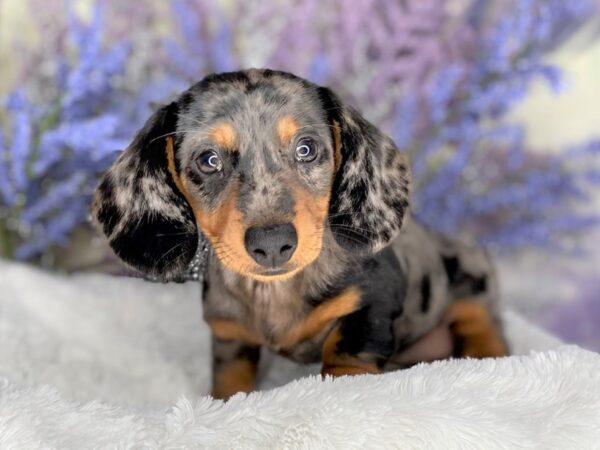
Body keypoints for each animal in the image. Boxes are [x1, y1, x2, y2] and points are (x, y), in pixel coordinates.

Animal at [92, 68, 506, 400]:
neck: (275, 290)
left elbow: (346, 355)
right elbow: (229, 379)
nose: (272, 243)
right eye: (209, 160)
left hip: (468, 278)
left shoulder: (373, 301)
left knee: (480, 320)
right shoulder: (230, 337)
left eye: (306, 149)